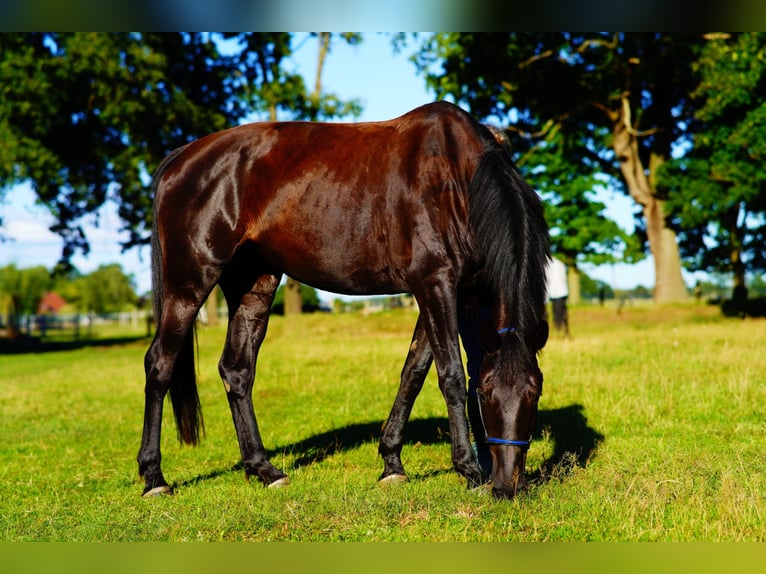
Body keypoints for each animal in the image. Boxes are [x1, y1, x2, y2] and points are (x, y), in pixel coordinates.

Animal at [137, 101, 550, 500]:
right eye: (486, 395)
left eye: (535, 392)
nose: (507, 486)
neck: (457, 180)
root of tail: (183, 157)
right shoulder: (435, 284)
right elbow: (451, 375)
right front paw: (469, 470)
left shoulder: (454, 291)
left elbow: (415, 372)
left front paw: (393, 463)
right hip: (189, 283)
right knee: (160, 365)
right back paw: (154, 478)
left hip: (253, 283)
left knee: (236, 370)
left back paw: (264, 469)